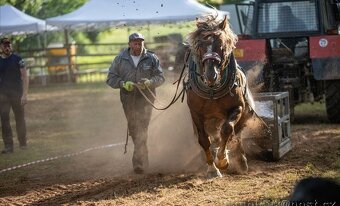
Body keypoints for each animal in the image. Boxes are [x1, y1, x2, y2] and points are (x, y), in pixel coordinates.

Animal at [186, 14, 255, 178]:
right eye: (200, 46)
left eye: (222, 46)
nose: (211, 75)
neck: (212, 90)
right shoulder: (195, 113)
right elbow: (204, 140)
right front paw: (212, 169)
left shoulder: (238, 107)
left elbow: (227, 130)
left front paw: (222, 160)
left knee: (235, 134)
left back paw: (241, 160)